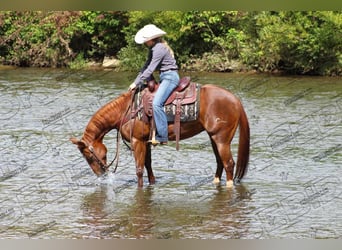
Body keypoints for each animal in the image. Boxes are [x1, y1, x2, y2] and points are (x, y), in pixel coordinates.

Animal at [71, 83, 250, 188]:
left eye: (88, 156)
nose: (101, 176)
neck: (125, 111)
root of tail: (236, 100)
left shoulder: (137, 141)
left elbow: (139, 169)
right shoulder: (146, 141)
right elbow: (148, 165)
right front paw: (152, 183)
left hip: (222, 140)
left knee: (229, 163)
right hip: (214, 138)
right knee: (220, 162)